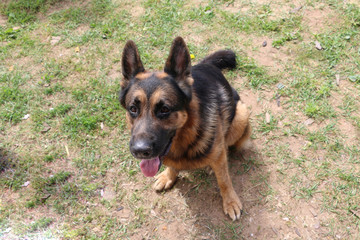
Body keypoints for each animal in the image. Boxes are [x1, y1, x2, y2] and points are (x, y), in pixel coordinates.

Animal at [120, 36, 250, 220]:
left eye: (164, 109)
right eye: (133, 109)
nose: (140, 150)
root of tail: (205, 64)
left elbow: (224, 180)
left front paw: (230, 201)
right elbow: (172, 165)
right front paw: (169, 176)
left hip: (241, 115)